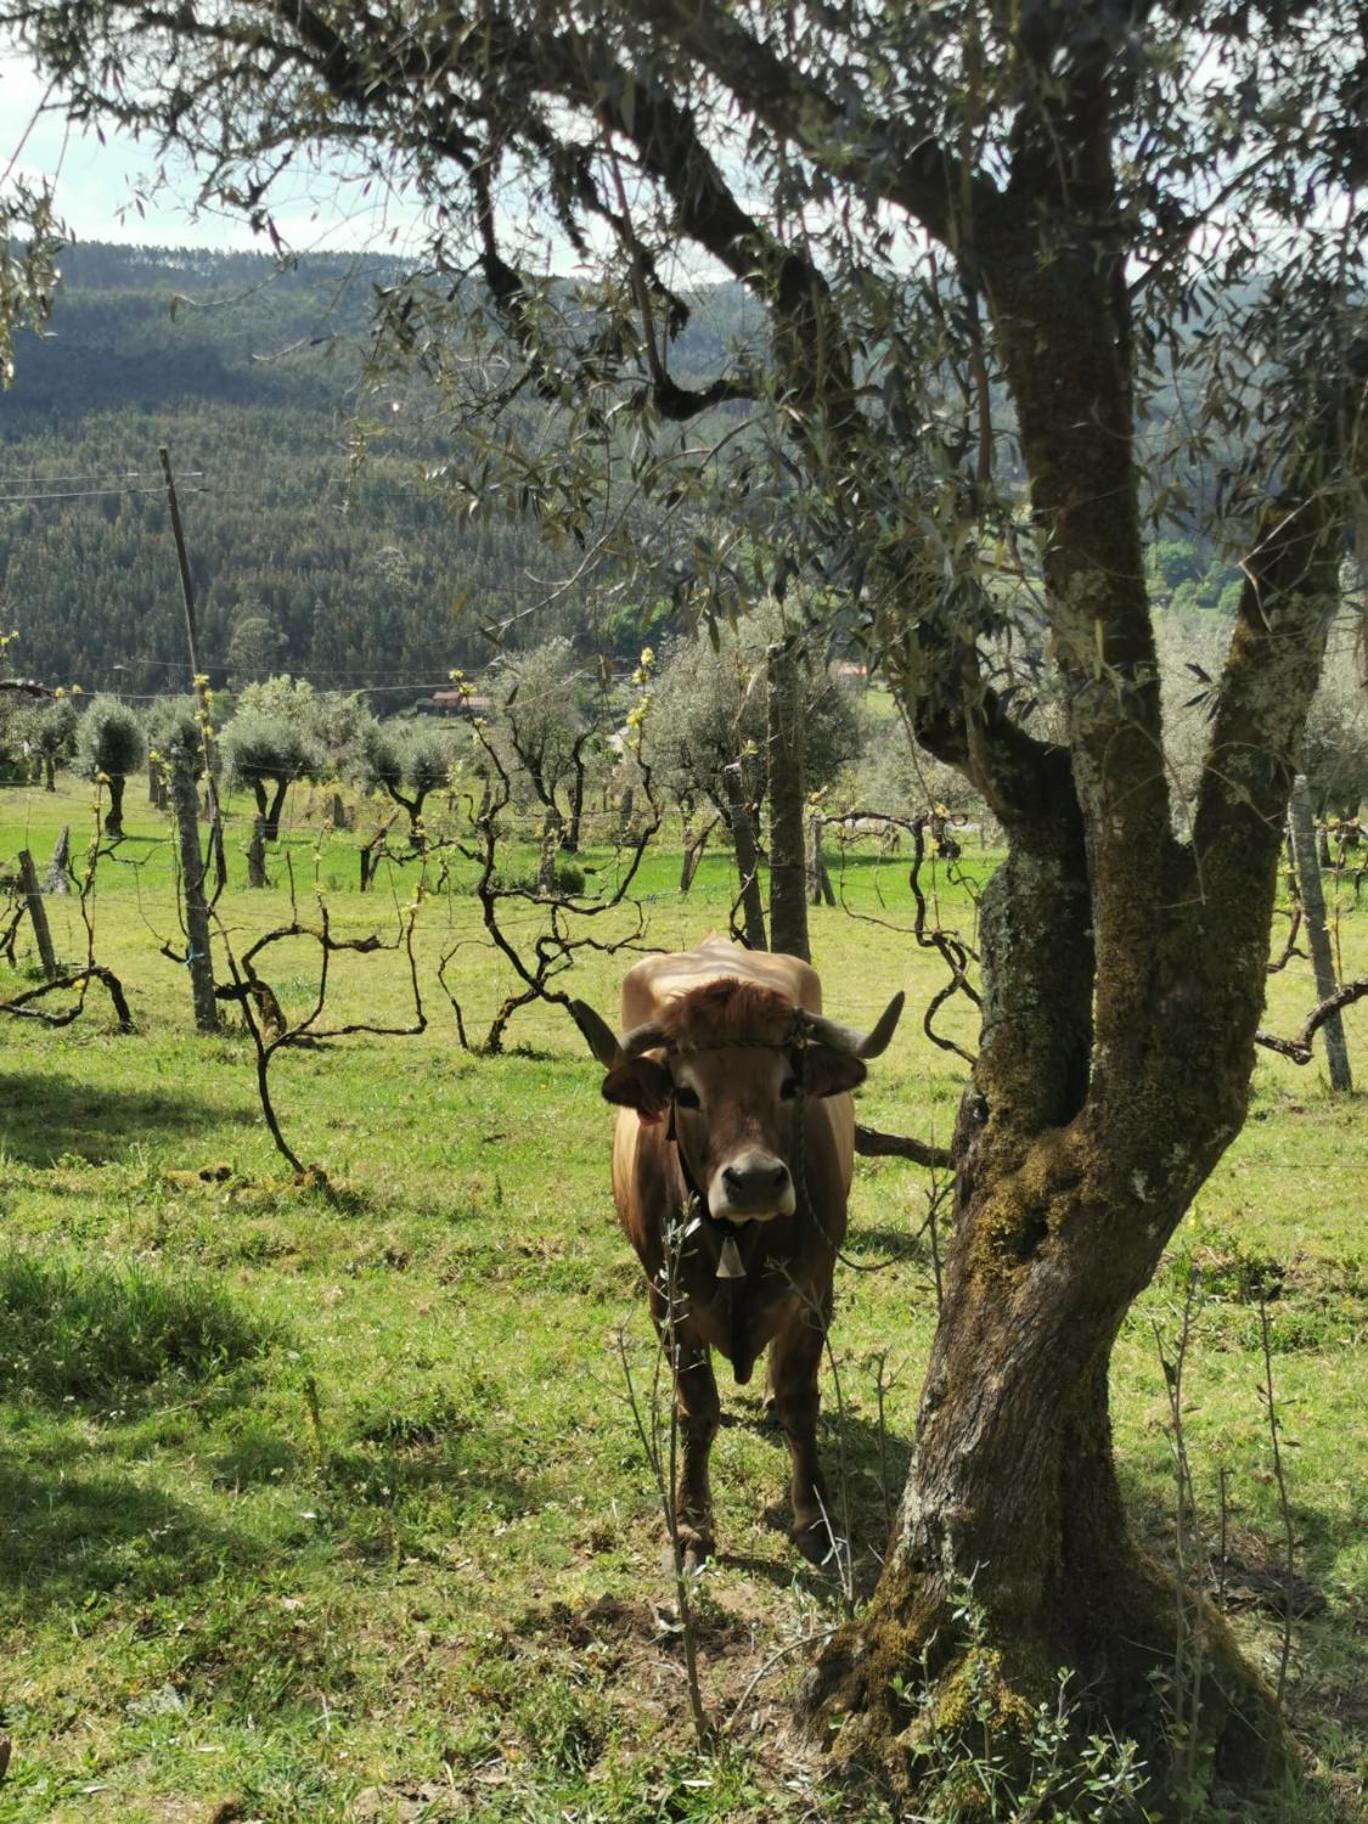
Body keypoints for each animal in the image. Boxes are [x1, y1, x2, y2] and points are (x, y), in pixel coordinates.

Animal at [572, 933, 904, 1561]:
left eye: (789, 1085)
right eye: (685, 1093)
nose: (754, 1180)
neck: (738, 1239)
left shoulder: (812, 1293)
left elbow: (801, 1399)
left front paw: (813, 1516)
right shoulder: (668, 1302)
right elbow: (698, 1407)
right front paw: (693, 1520)